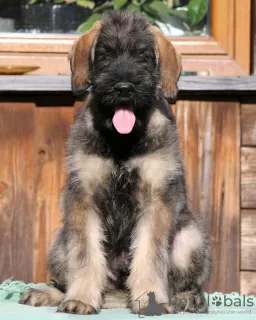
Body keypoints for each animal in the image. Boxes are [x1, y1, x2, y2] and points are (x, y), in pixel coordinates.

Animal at [20, 10, 211, 316]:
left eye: (143, 56)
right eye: (105, 56)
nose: (124, 88)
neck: (123, 141)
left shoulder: (156, 201)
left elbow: (150, 255)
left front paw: (150, 299)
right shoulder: (84, 198)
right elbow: (86, 255)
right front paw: (81, 299)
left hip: (190, 238)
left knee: (183, 284)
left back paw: (184, 300)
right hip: (59, 244)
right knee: (69, 278)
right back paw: (49, 294)